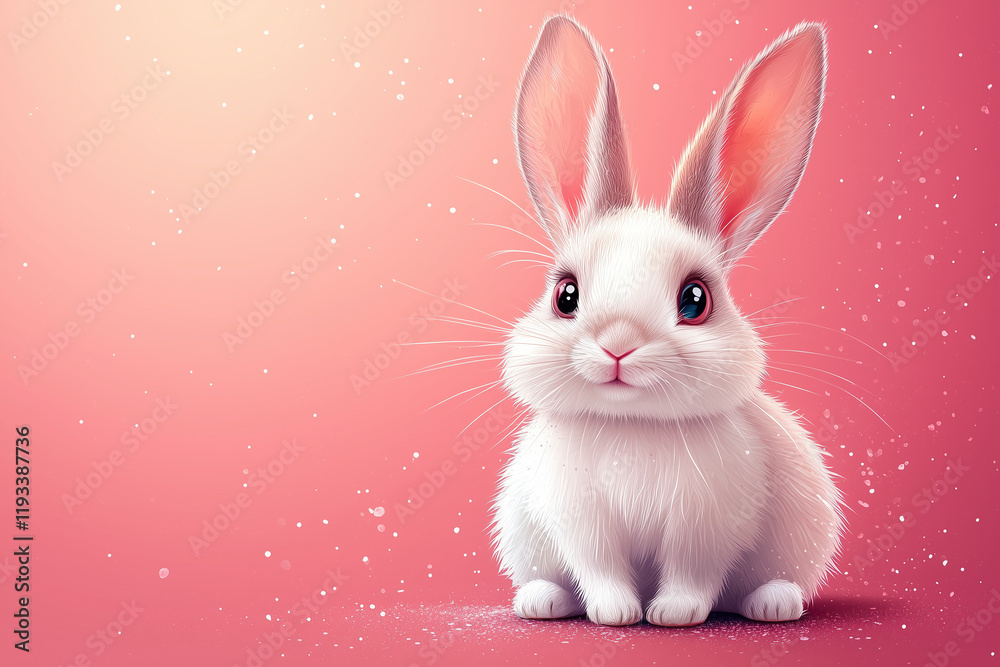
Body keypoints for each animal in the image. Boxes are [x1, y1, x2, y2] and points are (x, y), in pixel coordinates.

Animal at [490, 15, 843, 626]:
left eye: (695, 300)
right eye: (565, 295)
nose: (618, 345)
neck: (633, 428)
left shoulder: (707, 529)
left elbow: (691, 573)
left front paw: (672, 615)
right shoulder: (581, 524)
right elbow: (600, 569)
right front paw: (615, 614)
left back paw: (774, 604)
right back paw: (541, 601)